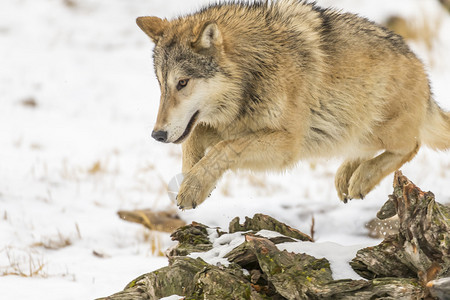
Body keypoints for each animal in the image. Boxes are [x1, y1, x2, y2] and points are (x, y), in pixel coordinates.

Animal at [137, 1, 450, 210]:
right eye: (162, 85)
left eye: (182, 83)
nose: (157, 135)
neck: (256, 69)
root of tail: (421, 67)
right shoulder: (226, 125)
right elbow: (195, 142)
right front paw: (193, 180)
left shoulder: (287, 144)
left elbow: (224, 149)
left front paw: (193, 187)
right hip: (349, 131)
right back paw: (347, 176)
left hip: (379, 130)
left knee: (413, 145)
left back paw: (361, 178)